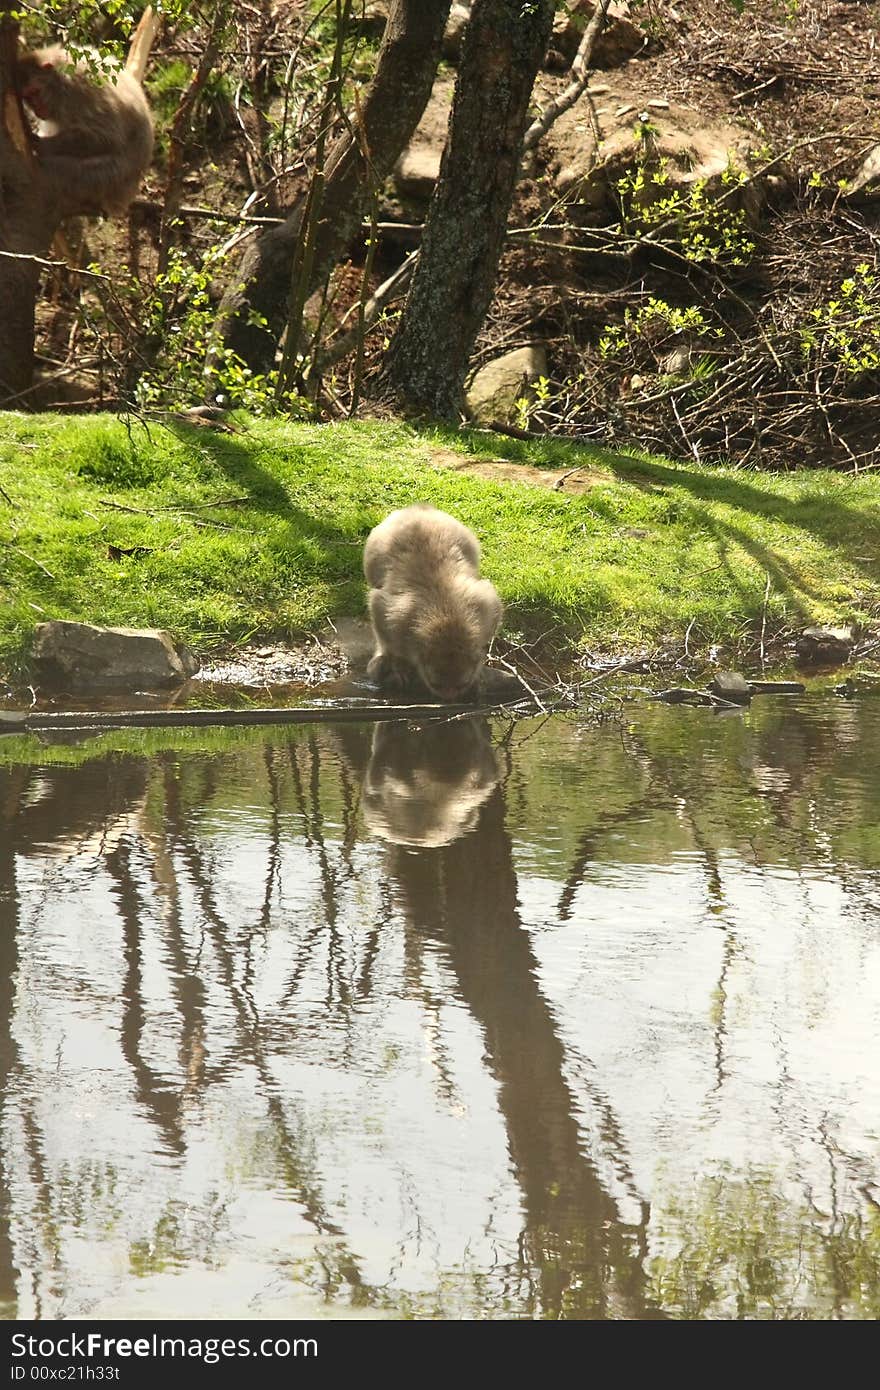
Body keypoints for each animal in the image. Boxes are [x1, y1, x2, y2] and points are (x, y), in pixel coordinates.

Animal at [17, 5, 157, 214]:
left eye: (35, 92)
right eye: (28, 98)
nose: (36, 110)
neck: (61, 81)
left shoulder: (77, 94)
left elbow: (106, 139)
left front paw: (39, 144)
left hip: (107, 182)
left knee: (73, 171)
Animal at [361, 503, 500, 706]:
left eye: (461, 685)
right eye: (436, 684)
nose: (449, 698)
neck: (446, 616)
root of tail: (418, 509)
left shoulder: (485, 609)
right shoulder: (396, 618)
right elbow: (378, 608)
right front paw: (397, 663)